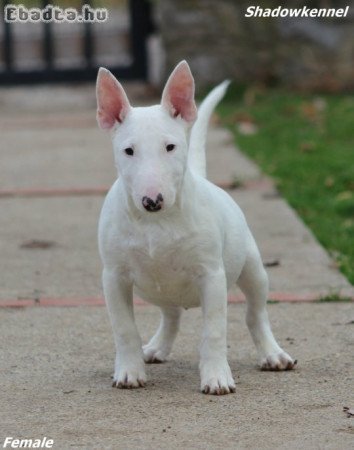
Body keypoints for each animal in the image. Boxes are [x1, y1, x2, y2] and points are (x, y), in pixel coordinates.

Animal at [96, 59, 296, 394]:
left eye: (170, 146)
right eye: (128, 150)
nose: (152, 200)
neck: (156, 222)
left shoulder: (211, 275)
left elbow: (214, 330)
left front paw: (216, 378)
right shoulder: (114, 277)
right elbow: (124, 328)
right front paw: (129, 372)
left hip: (253, 269)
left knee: (256, 313)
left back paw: (273, 355)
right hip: (155, 288)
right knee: (171, 314)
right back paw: (155, 348)